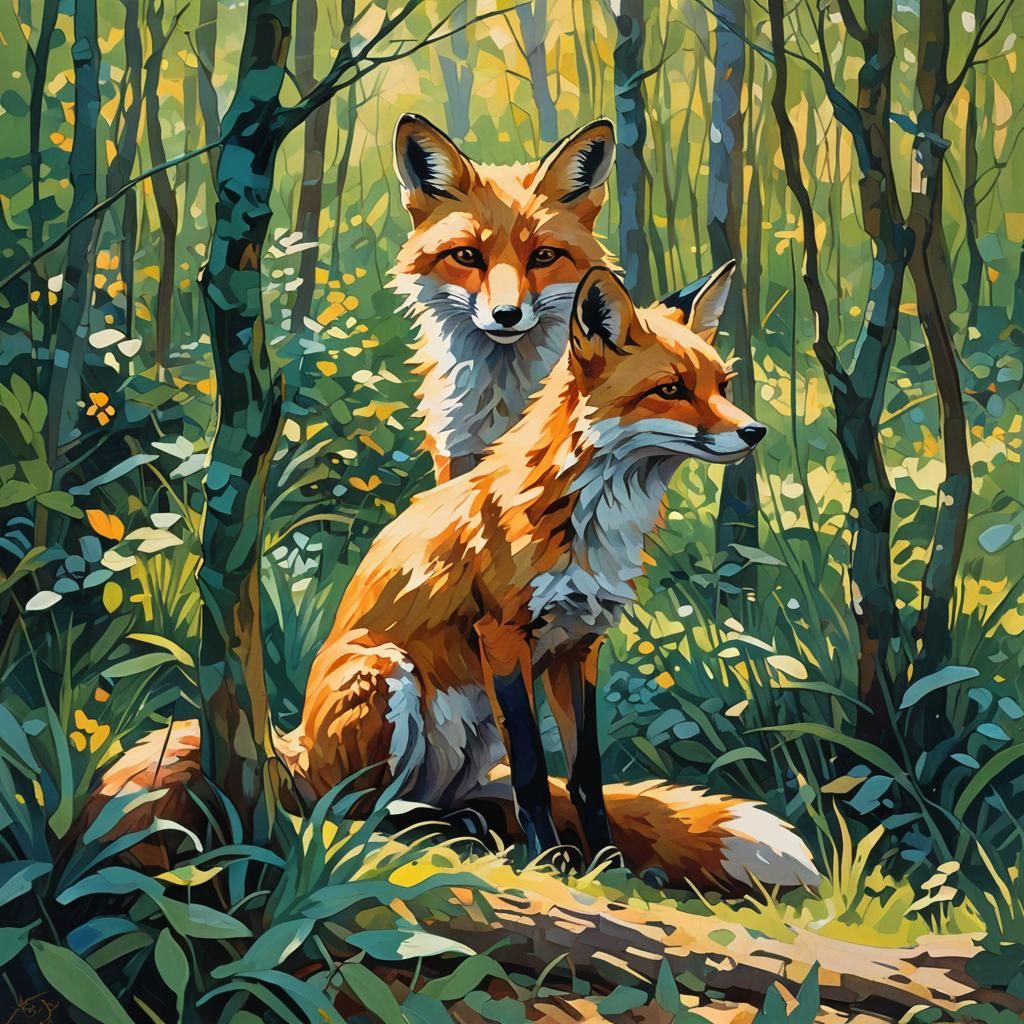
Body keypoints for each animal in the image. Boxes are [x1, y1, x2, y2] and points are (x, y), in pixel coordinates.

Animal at [91, 266, 819, 892]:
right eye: (671, 389)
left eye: (722, 383)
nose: (754, 432)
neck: (593, 523)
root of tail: (288, 752)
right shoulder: (504, 637)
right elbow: (533, 772)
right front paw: (550, 860)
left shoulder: (579, 647)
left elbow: (584, 775)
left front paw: (607, 860)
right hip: (386, 674)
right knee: (354, 812)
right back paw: (435, 829)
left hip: (469, 732)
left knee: (433, 801)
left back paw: (464, 822)